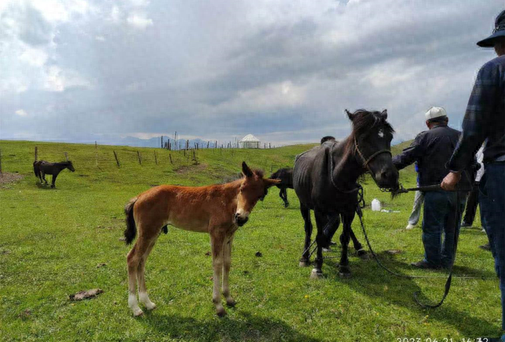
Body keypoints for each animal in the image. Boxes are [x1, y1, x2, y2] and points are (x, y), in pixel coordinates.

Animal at [123, 162, 280, 316]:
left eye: (261, 195)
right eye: (242, 188)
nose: (240, 217)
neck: (227, 201)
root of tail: (139, 197)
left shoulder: (229, 235)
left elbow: (227, 262)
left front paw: (228, 298)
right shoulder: (216, 233)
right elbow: (217, 264)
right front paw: (218, 305)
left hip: (154, 233)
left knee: (141, 260)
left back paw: (147, 303)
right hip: (147, 231)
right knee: (132, 258)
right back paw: (135, 308)